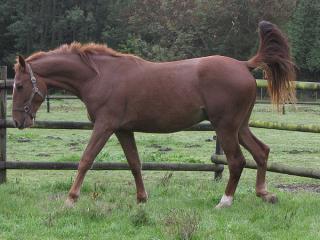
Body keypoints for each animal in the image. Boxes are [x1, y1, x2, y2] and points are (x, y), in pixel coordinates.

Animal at [11, 21, 296, 208]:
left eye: (20, 85)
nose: (17, 121)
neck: (100, 76)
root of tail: (243, 65)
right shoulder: (123, 129)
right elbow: (135, 164)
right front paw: (141, 199)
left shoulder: (105, 125)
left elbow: (86, 159)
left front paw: (70, 199)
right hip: (240, 126)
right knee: (261, 152)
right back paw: (264, 194)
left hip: (225, 127)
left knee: (237, 161)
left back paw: (224, 202)